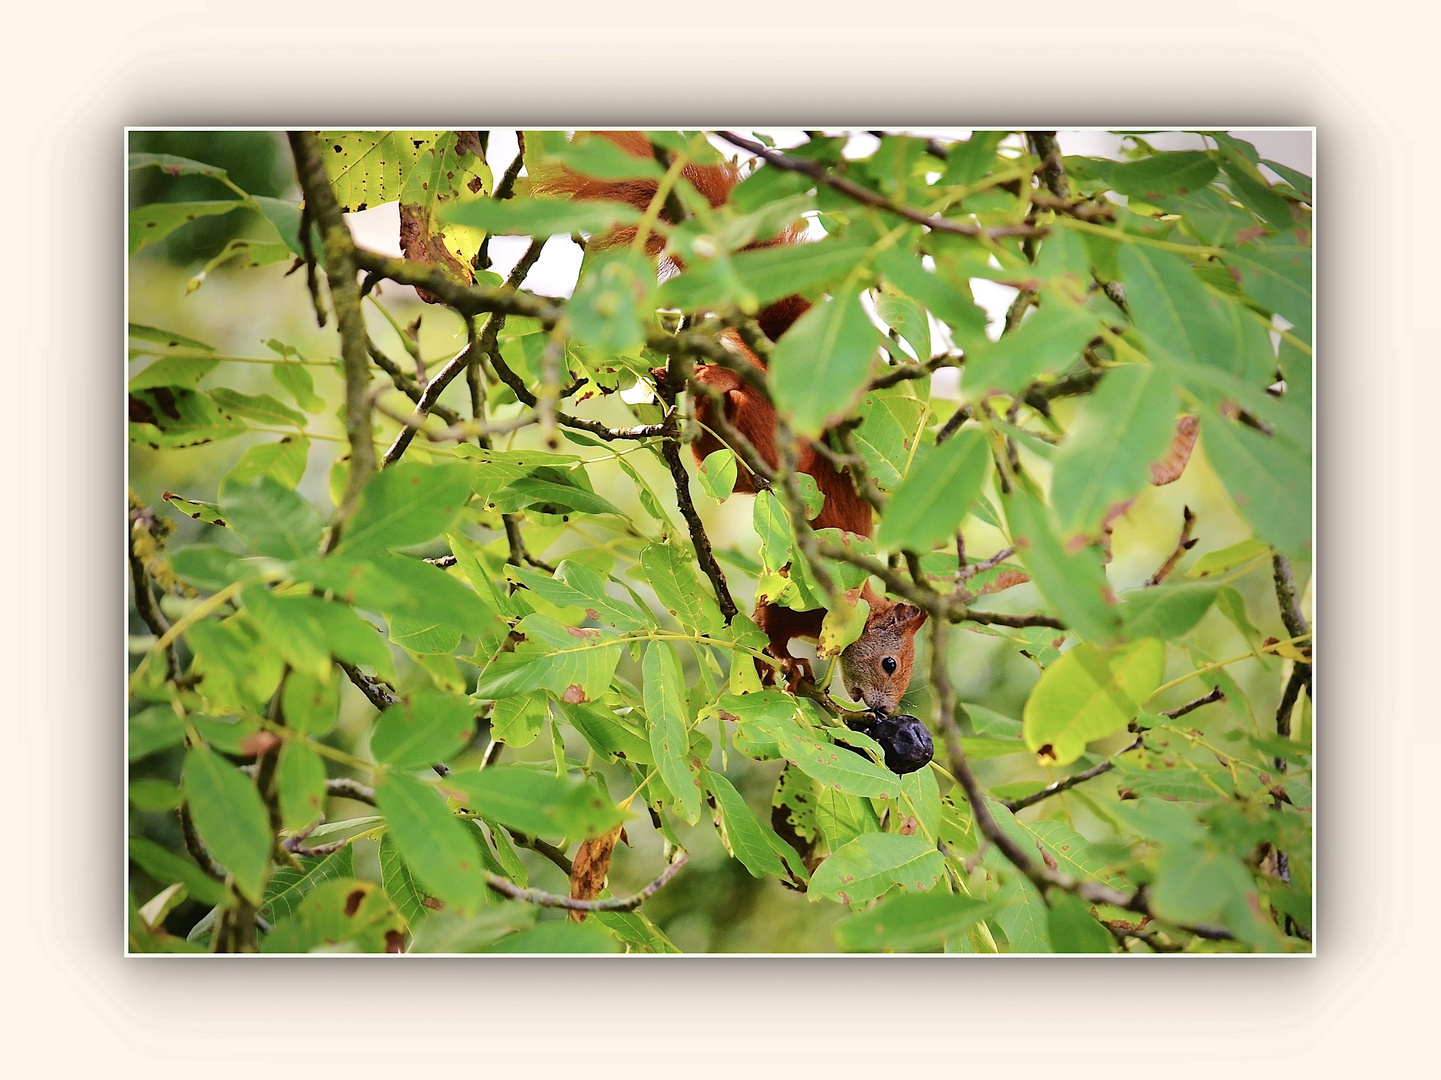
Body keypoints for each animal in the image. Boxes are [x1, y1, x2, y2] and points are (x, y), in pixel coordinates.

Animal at [536, 130, 928, 712]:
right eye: (890, 664)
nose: (884, 710)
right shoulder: (804, 591)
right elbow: (770, 622)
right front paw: (783, 664)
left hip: (742, 462)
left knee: (724, 463)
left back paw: (690, 391)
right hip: (773, 438)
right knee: (743, 423)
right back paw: (712, 381)